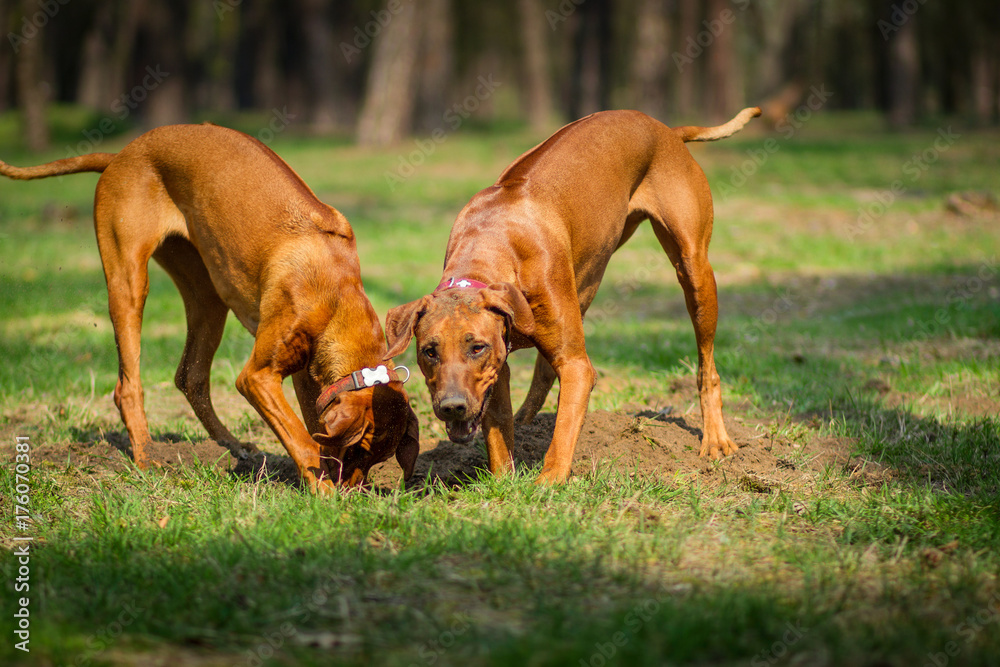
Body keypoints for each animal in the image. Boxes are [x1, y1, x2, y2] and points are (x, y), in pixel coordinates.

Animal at [1, 124, 416, 490]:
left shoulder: (305, 372)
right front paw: (324, 492)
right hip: (128, 281)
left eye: (376, 459)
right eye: (357, 450)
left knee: (190, 376)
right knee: (128, 386)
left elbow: (311, 426)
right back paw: (147, 457)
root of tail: (121, 154)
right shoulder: (258, 377)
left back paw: (231, 447)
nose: (355, 491)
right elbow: (302, 438)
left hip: (208, 296)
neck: (336, 294)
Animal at [382, 109, 756, 486]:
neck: (488, 248)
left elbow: (564, 426)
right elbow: (499, 429)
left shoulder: (574, 365)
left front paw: (547, 482)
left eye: (477, 348)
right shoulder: (499, 364)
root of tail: (665, 130)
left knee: (707, 367)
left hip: (694, 272)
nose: (452, 406)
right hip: (589, 279)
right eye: (429, 351)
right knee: (543, 371)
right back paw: (527, 421)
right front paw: (504, 484)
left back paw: (716, 438)